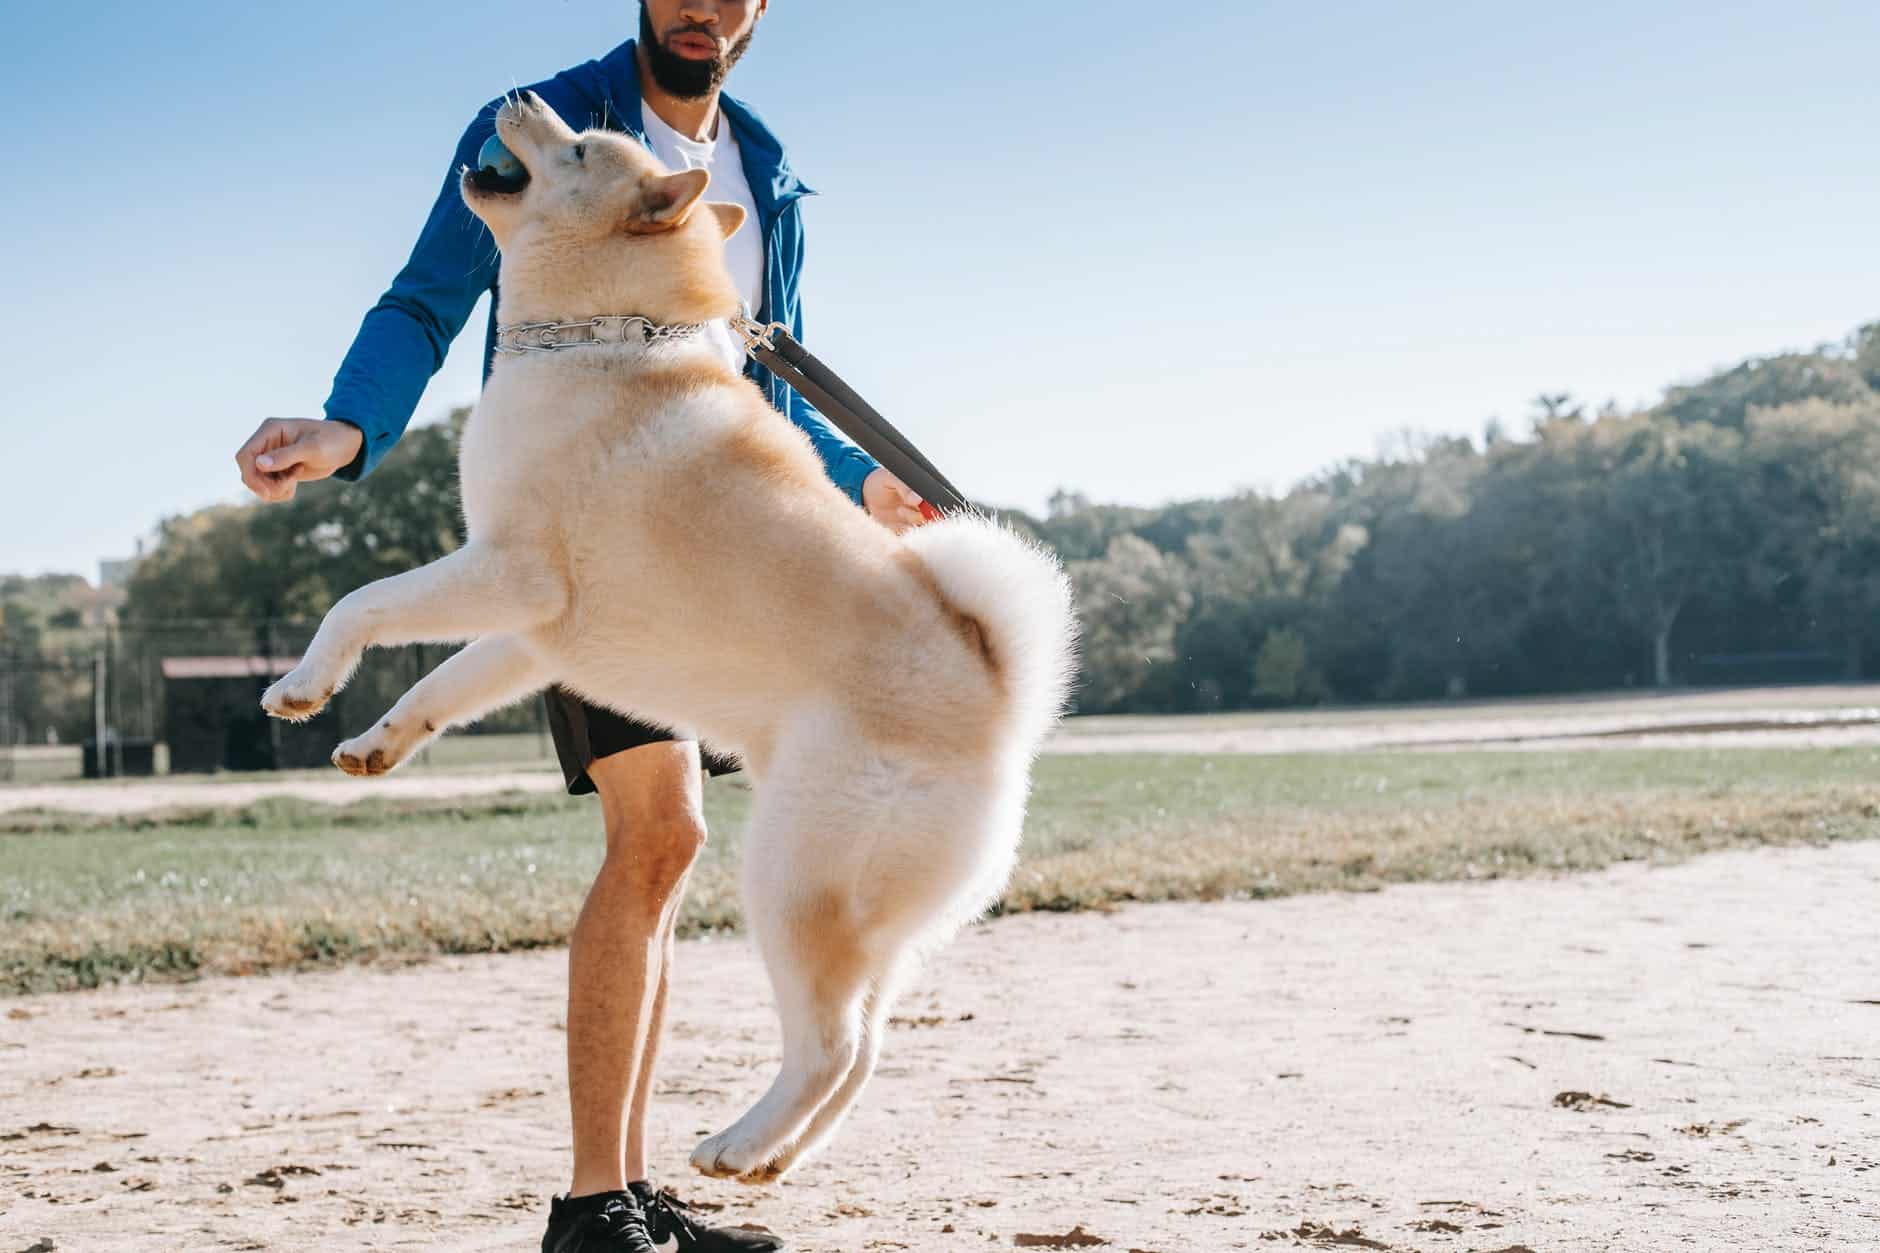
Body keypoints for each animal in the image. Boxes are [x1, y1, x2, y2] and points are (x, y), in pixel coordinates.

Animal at [268, 92, 1090, 1173]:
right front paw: (374, 741)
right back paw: (775, 1151)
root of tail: (999, 698)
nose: (521, 94)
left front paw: (303, 681)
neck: (596, 337)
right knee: (865, 1047)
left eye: (579, 146)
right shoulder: (529, 631)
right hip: (865, 920)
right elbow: (435, 688)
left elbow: (360, 602)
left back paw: (736, 1144)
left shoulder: (507, 570)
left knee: (830, 1045)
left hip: (792, 885)